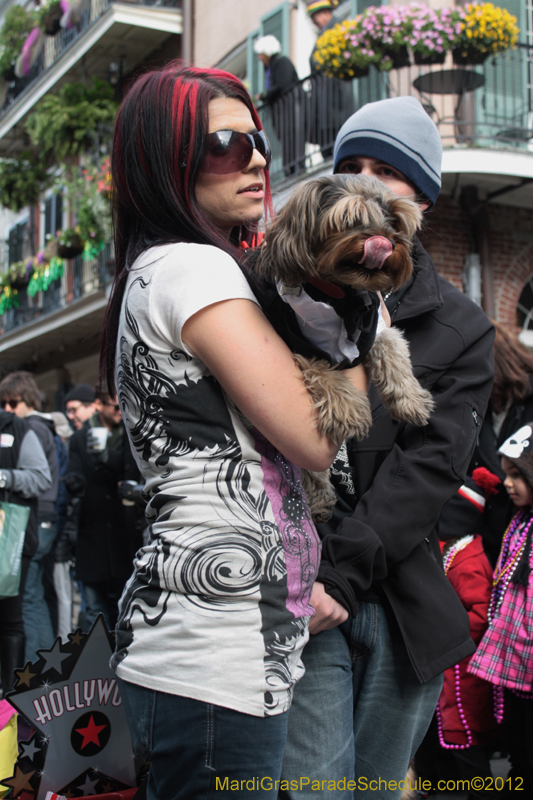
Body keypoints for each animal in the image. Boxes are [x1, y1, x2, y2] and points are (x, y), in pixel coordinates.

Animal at [247, 175, 434, 520]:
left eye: (394, 220)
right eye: (351, 218)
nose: (386, 242)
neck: (342, 298)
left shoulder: (377, 328)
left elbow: (392, 351)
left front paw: (410, 399)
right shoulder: (294, 340)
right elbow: (323, 369)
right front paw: (349, 409)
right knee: (309, 467)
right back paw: (320, 498)